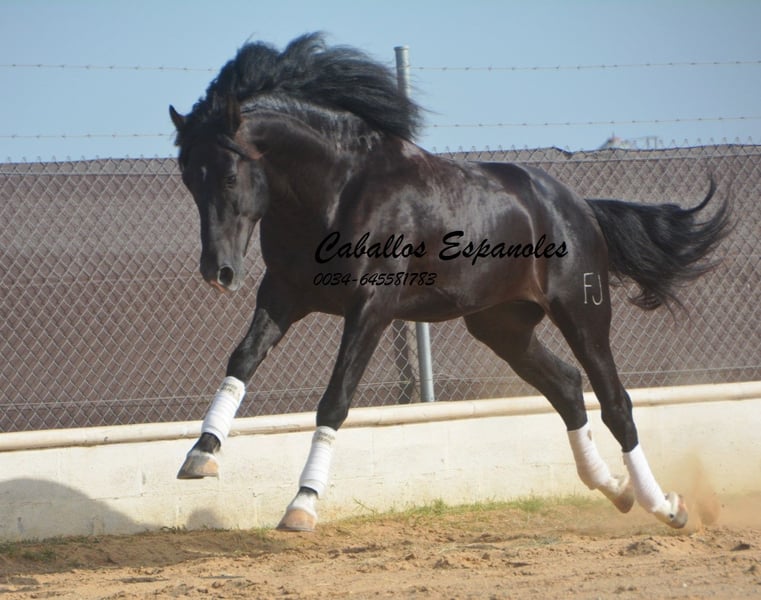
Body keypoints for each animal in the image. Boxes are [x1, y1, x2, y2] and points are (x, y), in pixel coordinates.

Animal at [169, 33, 729, 532]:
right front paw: (200, 454)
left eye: (229, 176)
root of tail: (581, 208)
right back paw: (617, 490)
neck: (339, 191)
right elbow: (242, 359)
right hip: (502, 327)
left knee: (616, 403)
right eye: (189, 178)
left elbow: (335, 398)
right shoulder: (284, 294)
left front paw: (302, 504)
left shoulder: (371, 309)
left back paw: (666, 507)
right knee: (568, 388)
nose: (218, 273)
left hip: (583, 314)